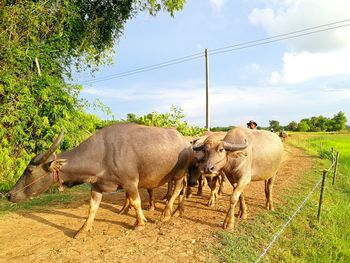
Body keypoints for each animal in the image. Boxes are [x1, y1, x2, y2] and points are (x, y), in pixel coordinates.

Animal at [8, 123, 193, 237]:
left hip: (180, 173)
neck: (102, 155)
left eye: (29, 170)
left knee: (177, 189)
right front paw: (83, 229)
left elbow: (136, 202)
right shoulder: (96, 186)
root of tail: (186, 142)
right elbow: (92, 208)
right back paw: (179, 210)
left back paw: (166, 214)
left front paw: (140, 223)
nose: (9, 194)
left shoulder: (130, 183)